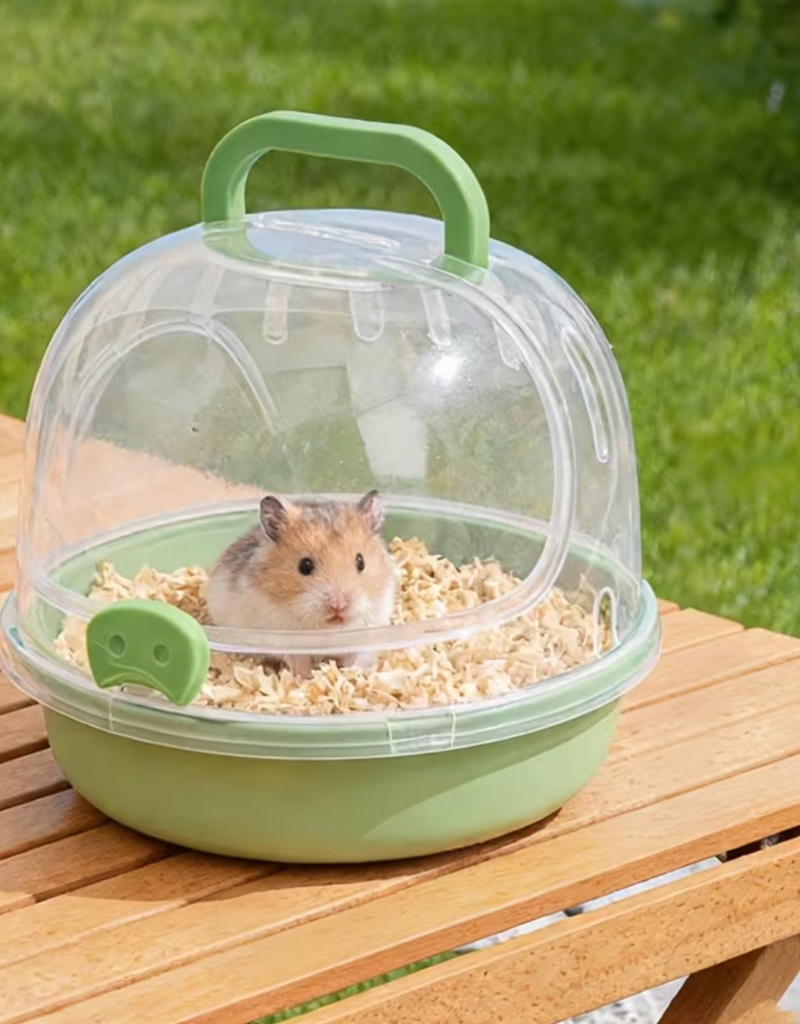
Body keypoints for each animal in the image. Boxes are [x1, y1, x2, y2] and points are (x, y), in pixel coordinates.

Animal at [205, 490, 397, 677]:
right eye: (305, 566)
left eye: (360, 562)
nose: (339, 605)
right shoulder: (281, 638)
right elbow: (298, 660)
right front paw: (304, 678)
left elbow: (355, 658)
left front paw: (352, 673)